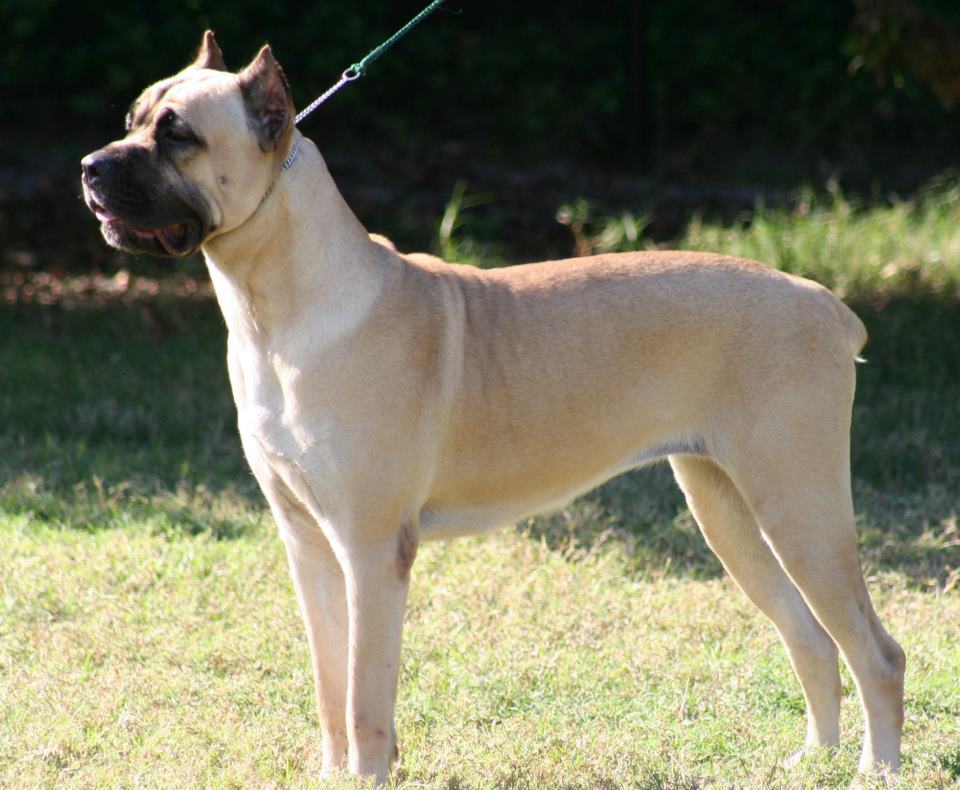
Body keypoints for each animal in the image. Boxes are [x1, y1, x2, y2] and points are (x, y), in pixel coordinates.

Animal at [79, 31, 904, 784]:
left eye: (178, 134)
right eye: (132, 117)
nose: (89, 167)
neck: (277, 309)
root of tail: (825, 303)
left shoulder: (371, 549)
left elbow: (366, 698)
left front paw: (368, 773)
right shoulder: (307, 545)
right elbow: (330, 687)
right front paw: (333, 771)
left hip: (799, 508)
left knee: (876, 651)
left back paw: (877, 766)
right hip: (726, 508)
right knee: (811, 637)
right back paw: (815, 758)